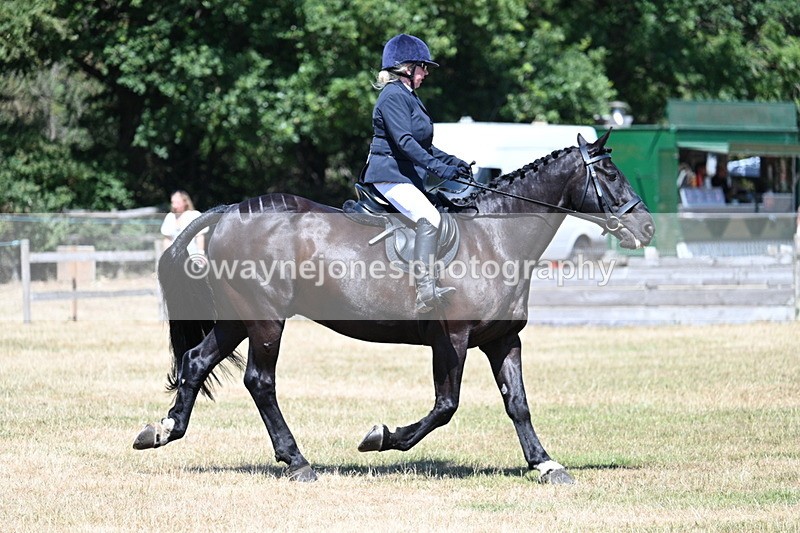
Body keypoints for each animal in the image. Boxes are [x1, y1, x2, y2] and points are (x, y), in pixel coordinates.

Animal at [134, 131, 654, 484]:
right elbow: (446, 406)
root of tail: (229, 211)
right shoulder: (452, 339)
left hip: (237, 319)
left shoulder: (503, 339)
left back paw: (162, 430)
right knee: (260, 381)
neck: (495, 239)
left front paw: (545, 464)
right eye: (611, 174)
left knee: (195, 360)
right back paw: (297, 461)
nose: (647, 228)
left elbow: (518, 403)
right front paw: (380, 437)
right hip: (265, 321)